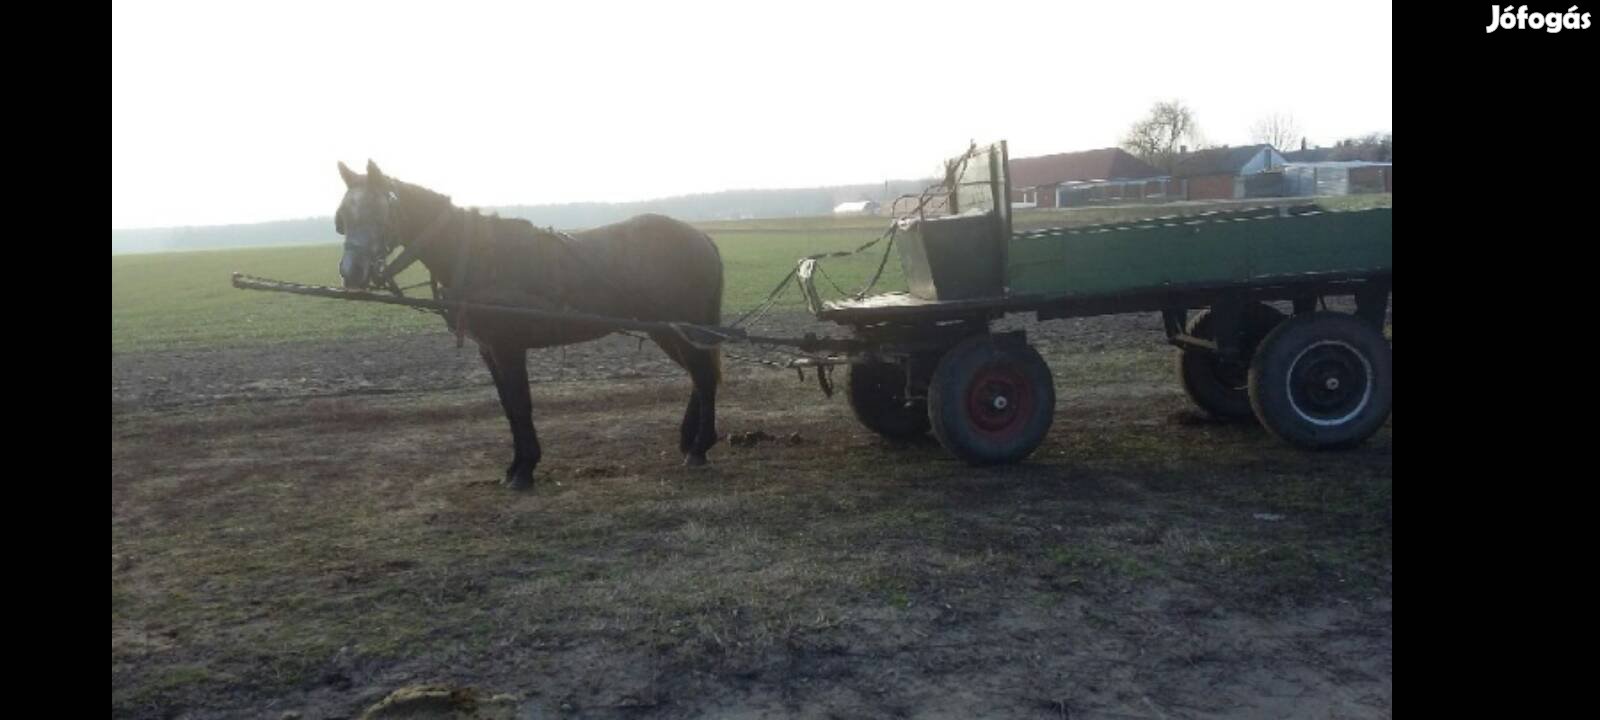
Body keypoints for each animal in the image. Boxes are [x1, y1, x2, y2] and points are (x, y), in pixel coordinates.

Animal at [337, 160, 726, 492]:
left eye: (378, 211)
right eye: (343, 217)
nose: (351, 273)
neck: (479, 254)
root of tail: (701, 237)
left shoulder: (508, 346)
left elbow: (521, 404)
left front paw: (525, 470)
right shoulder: (489, 349)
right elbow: (508, 407)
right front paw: (514, 467)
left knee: (704, 377)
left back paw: (699, 448)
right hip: (667, 330)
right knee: (699, 377)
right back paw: (689, 440)